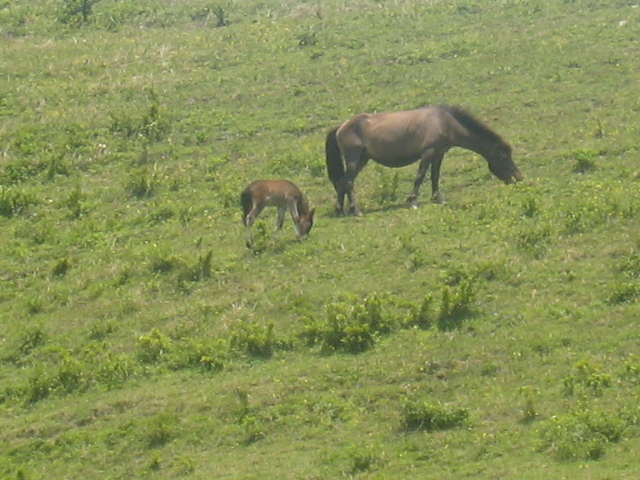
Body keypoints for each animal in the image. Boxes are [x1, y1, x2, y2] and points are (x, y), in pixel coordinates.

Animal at [324, 107, 520, 218]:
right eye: (504, 156)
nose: (518, 177)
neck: (444, 122)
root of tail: (341, 127)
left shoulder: (439, 154)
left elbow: (435, 177)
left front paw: (438, 198)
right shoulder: (428, 153)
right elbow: (420, 176)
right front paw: (413, 201)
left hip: (362, 159)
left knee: (342, 182)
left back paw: (340, 210)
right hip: (353, 159)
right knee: (349, 182)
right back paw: (355, 210)